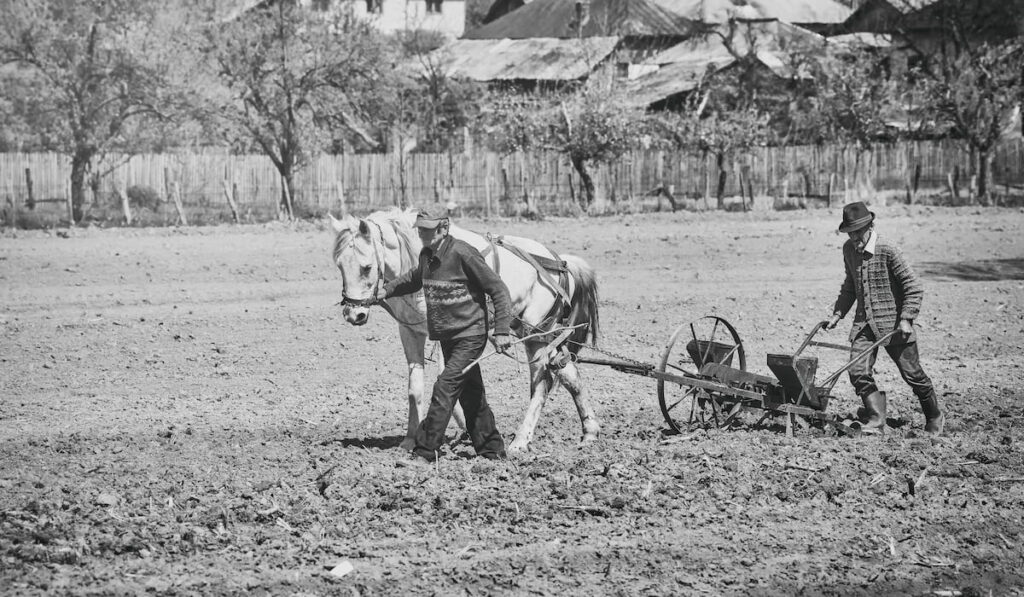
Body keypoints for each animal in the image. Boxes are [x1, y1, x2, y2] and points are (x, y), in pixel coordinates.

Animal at [327, 207, 598, 454]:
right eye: (339, 265)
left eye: (366, 267)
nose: (353, 314)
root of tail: (559, 261)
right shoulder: (410, 332)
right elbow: (415, 389)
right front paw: (410, 440)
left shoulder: (442, 334)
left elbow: (448, 379)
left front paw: (454, 431)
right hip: (537, 333)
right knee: (568, 374)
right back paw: (589, 433)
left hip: (537, 334)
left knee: (543, 381)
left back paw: (520, 441)